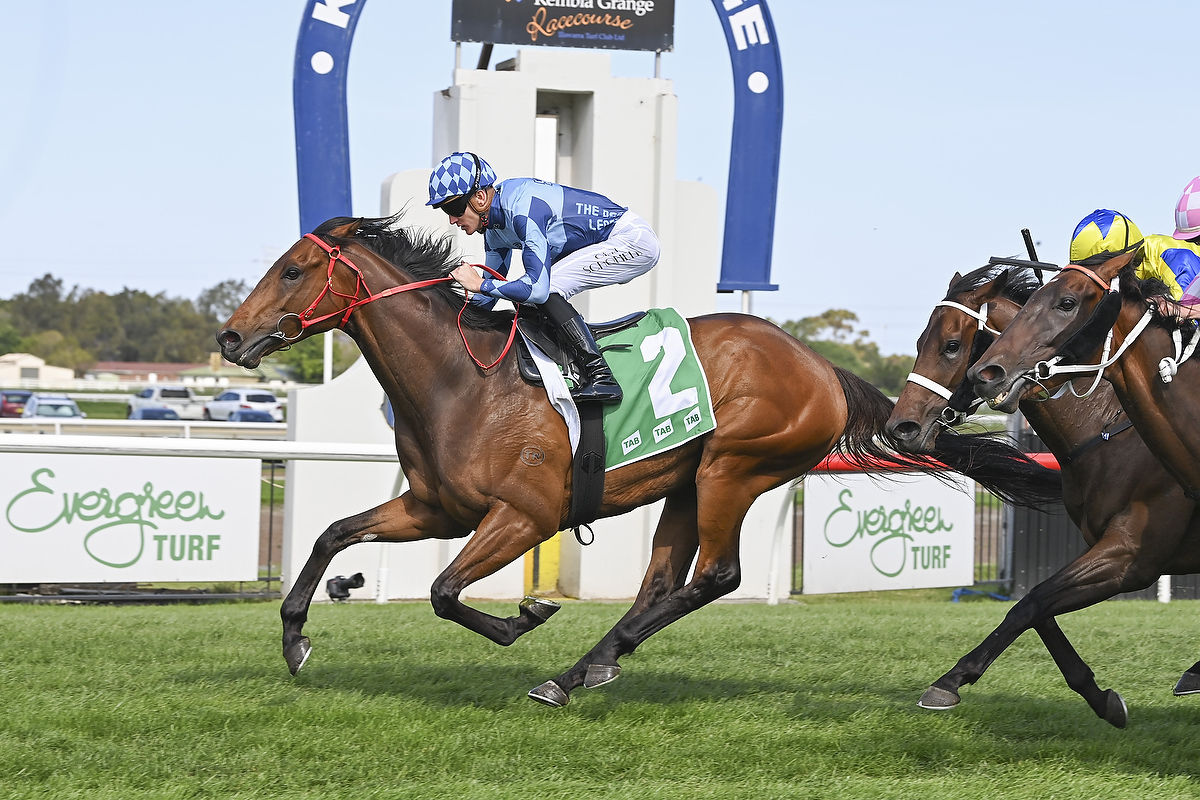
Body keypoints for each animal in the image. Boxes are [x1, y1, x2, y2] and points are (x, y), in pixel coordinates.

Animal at [216, 214, 1060, 705]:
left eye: (293, 270)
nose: (230, 336)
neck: (462, 380)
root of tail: (822, 367)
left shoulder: (523, 516)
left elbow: (446, 591)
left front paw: (526, 616)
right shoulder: (433, 508)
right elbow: (333, 534)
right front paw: (294, 638)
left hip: (731, 469)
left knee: (714, 577)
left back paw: (575, 671)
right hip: (686, 483)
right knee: (662, 584)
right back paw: (588, 666)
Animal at [883, 266, 1200, 729]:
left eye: (952, 345)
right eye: (921, 341)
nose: (900, 428)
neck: (1105, 433)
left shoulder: (1132, 556)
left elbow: (1028, 605)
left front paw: (949, 681)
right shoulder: (1100, 547)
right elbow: (1037, 605)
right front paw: (1102, 699)